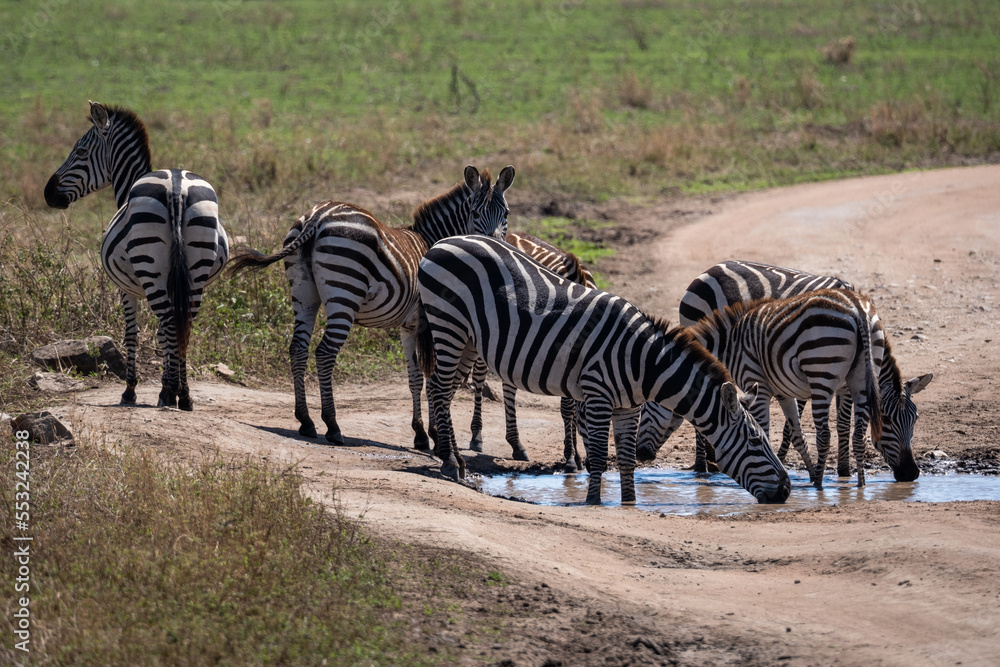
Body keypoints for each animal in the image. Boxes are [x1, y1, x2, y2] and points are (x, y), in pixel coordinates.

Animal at [44, 101, 228, 410]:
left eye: (80, 152)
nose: (48, 193)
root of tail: (176, 185)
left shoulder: (126, 288)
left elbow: (133, 333)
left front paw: (133, 389)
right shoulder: (172, 284)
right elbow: (164, 334)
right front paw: (168, 382)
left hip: (149, 265)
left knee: (170, 321)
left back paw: (173, 393)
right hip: (196, 269)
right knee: (184, 323)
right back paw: (185, 396)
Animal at [227, 165, 514, 447]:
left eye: (506, 213)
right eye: (475, 212)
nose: (493, 246)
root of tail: (317, 217)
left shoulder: (409, 325)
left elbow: (415, 377)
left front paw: (421, 433)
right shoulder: (432, 322)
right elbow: (431, 375)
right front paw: (433, 433)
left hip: (303, 293)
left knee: (298, 348)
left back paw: (306, 420)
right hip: (345, 291)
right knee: (325, 352)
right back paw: (332, 426)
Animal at [415, 235, 791, 505]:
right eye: (756, 442)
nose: (786, 491)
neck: (644, 363)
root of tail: (444, 241)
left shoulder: (629, 407)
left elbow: (625, 459)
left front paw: (629, 502)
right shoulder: (597, 397)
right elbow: (597, 457)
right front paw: (594, 501)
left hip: (468, 338)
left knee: (444, 390)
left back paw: (455, 460)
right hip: (448, 323)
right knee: (439, 388)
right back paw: (448, 462)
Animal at [638, 260, 855, 473]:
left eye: (646, 405)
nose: (642, 454)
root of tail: (711, 269)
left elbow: (840, 423)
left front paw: (843, 471)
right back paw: (703, 465)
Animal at [655, 288, 930, 487]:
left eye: (915, 419)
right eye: (888, 420)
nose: (911, 474)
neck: (729, 344)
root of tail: (858, 309)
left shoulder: (755, 380)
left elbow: (765, 430)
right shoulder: (783, 392)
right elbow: (798, 435)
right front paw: (809, 473)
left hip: (821, 372)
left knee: (824, 434)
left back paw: (819, 486)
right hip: (861, 378)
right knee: (858, 434)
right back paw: (858, 485)